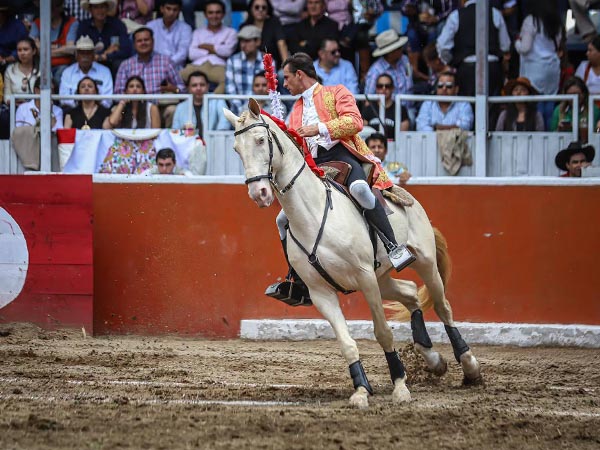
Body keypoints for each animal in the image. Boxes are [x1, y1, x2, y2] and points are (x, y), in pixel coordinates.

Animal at [223, 100, 480, 410]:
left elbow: (383, 332)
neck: (313, 213)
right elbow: (346, 342)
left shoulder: (365, 277)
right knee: (409, 292)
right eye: (236, 148)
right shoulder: (321, 291)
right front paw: (360, 390)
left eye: (261, 140)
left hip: (424, 263)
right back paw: (433, 359)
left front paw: (400, 386)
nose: (259, 193)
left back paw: (470, 366)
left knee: (443, 307)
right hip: (383, 278)